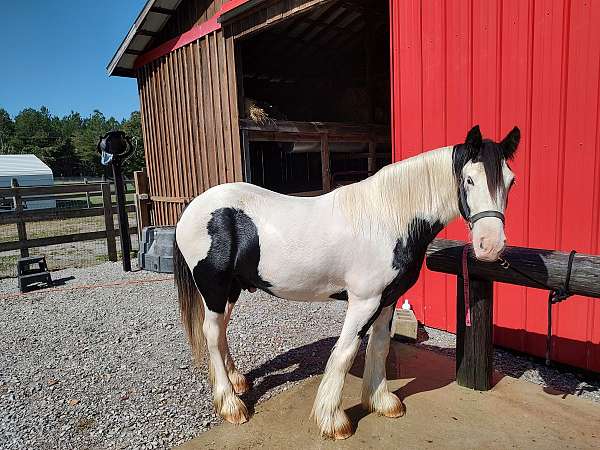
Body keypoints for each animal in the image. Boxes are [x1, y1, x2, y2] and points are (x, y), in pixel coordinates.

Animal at [172, 124, 520, 440]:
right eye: (469, 179)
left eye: (511, 181)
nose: (490, 246)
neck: (388, 219)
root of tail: (194, 207)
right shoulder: (364, 301)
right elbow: (345, 352)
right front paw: (333, 420)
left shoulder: (388, 299)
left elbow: (379, 346)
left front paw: (381, 402)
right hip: (214, 287)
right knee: (211, 332)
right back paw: (231, 404)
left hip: (230, 289)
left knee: (219, 332)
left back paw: (236, 381)